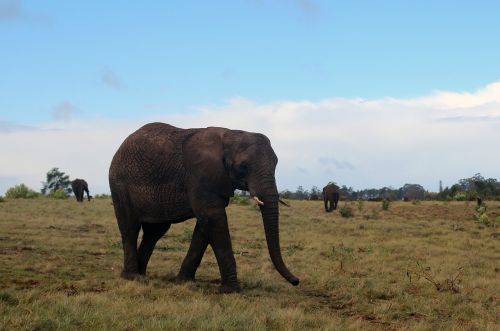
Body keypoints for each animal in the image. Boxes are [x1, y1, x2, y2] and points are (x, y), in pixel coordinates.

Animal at [108, 123, 298, 294]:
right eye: (243, 166)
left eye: (276, 164)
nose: (296, 281)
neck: (230, 134)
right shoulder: (200, 176)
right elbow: (213, 218)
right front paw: (231, 291)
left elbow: (204, 225)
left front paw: (184, 282)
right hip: (119, 184)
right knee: (130, 228)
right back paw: (132, 277)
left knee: (154, 232)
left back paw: (142, 275)